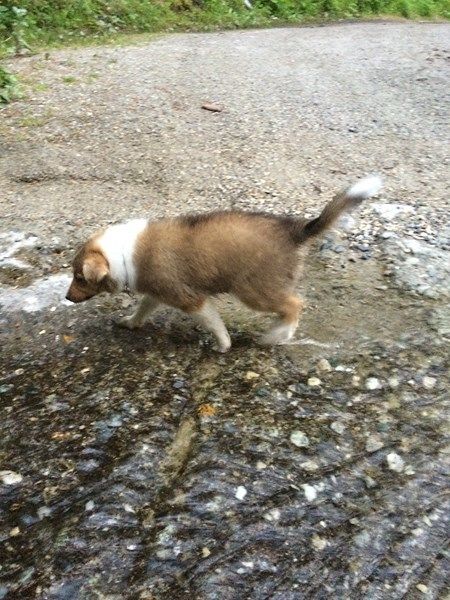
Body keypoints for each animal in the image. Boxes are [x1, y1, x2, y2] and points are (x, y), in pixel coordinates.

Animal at [67, 173, 382, 352]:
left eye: (80, 277)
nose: (68, 298)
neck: (121, 253)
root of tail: (296, 231)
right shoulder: (160, 291)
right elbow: (144, 307)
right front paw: (130, 322)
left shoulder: (191, 299)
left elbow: (214, 323)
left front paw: (223, 345)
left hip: (254, 290)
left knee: (295, 305)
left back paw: (274, 337)